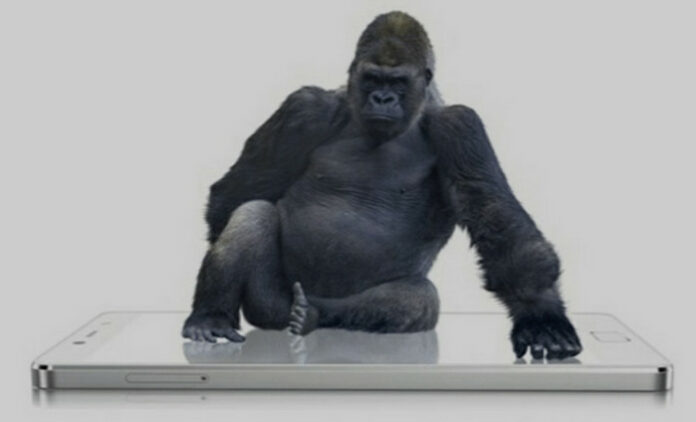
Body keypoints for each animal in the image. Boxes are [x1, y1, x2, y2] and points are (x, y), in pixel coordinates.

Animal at [182, 11, 582, 360]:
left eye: (398, 82)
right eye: (373, 79)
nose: (383, 99)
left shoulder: (460, 127)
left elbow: (497, 219)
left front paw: (541, 313)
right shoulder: (304, 109)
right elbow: (236, 192)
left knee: (418, 298)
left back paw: (313, 315)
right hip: (268, 301)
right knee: (251, 214)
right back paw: (212, 316)